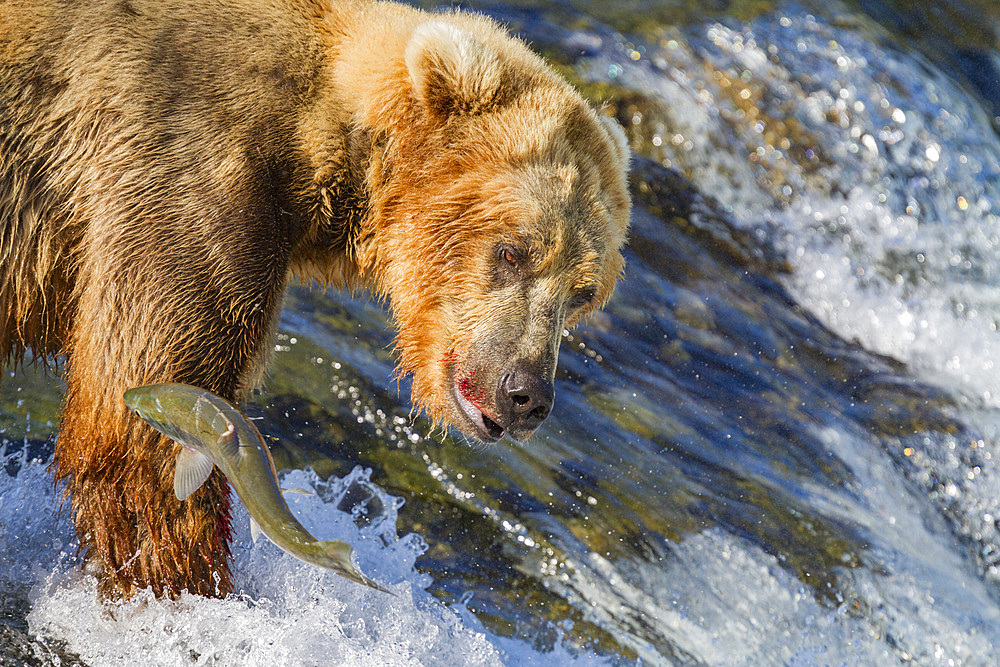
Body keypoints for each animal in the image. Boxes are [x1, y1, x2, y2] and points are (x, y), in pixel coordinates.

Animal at [0, 0, 628, 596]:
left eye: (583, 294)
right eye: (513, 251)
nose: (525, 394)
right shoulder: (182, 172)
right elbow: (138, 432)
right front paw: (183, 589)